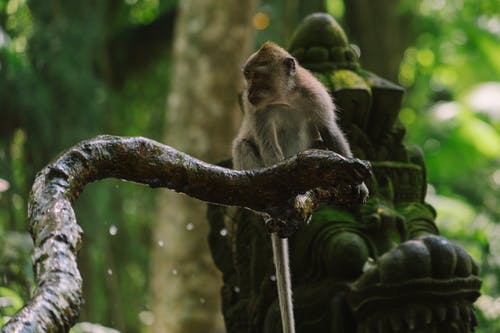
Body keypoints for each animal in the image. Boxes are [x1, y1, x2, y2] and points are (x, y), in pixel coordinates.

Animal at [232, 41, 370, 332]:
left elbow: (329, 131)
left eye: (256, 76)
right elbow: (267, 146)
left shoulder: (315, 96)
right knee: (243, 145)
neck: (284, 97)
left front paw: (358, 181)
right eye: (247, 76)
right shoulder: (257, 111)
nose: (248, 91)